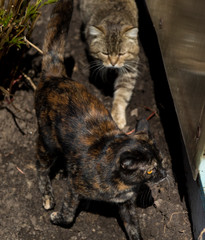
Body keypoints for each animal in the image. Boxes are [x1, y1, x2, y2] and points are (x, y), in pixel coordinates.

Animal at [80, 0, 141, 129]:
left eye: (121, 53)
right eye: (105, 53)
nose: (113, 63)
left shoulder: (130, 69)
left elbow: (122, 93)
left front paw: (117, 116)